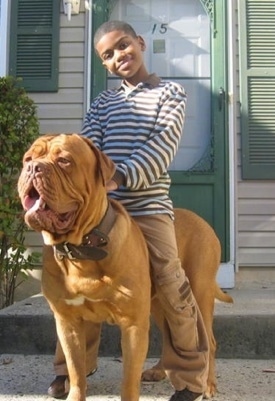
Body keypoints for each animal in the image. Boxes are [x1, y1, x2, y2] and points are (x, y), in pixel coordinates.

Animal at [17, 133, 233, 398]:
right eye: (28, 158)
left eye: (64, 161)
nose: (33, 168)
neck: (82, 249)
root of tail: (203, 221)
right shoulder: (68, 321)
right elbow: (76, 372)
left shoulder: (132, 325)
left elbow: (128, 380)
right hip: (157, 304)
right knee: (169, 336)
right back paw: (159, 371)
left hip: (197, 293)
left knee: (206, 340)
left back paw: (207, 384)